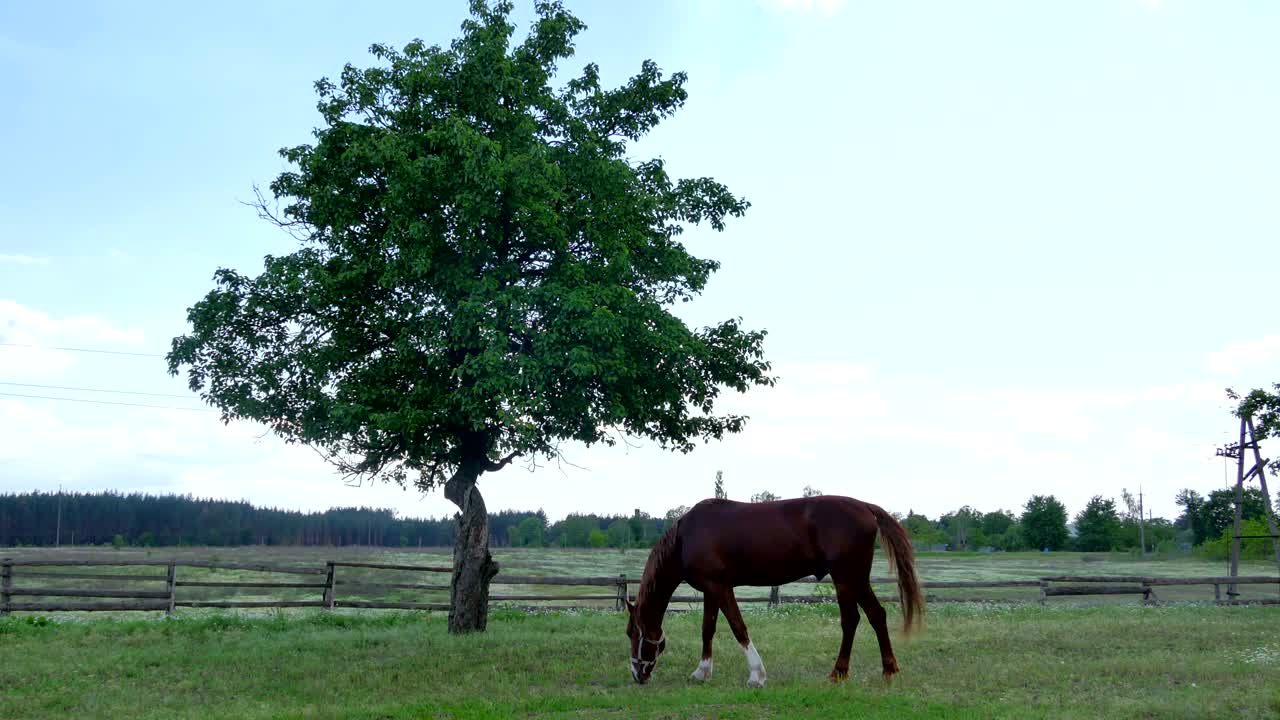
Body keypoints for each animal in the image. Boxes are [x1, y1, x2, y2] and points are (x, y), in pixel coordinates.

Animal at [624, 495, 924, 686]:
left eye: (632, 633)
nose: (638, 674)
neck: (685, 537)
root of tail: (864, 507)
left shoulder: (720, 587)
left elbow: (738, 627)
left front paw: (757, 675)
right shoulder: (711, 589)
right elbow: (707, 629)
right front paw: (702, 672)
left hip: (847, 579)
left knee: (852, 620)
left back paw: (839, 672)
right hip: (855, 580)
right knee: (876, 615)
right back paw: (887, 670)